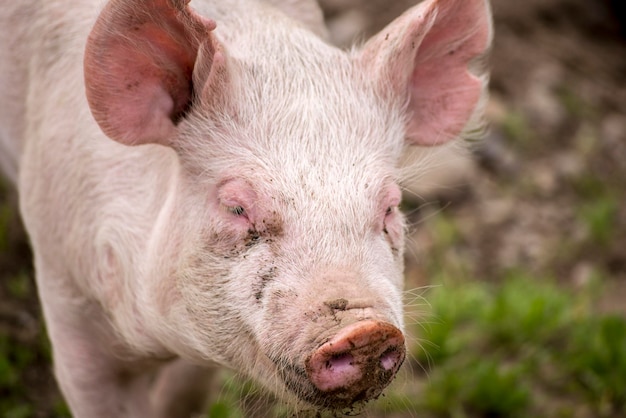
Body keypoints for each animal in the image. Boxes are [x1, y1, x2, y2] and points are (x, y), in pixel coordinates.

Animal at [0, 0, 492, 414]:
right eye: (236, 207)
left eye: (390, 207)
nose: (365, 330)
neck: (159, 342)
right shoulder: (65, 293)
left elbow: (186, 395)